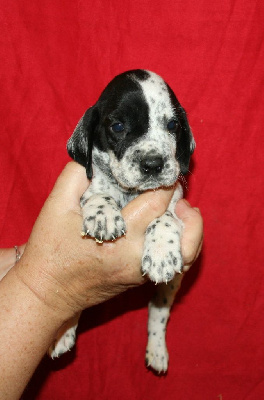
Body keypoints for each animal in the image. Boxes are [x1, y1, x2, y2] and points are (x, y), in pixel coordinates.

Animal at [48, 70, 195, 374]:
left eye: (172, 125)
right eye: (117, 126)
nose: (153, 164)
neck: (131, 194)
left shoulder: (175, 201)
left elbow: (164, 217)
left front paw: (161, 251)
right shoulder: (88, 189)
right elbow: (98, 193)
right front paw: (104, 213)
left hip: (172, 287)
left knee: (158, 312)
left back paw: (157, 350)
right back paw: (61, 335)